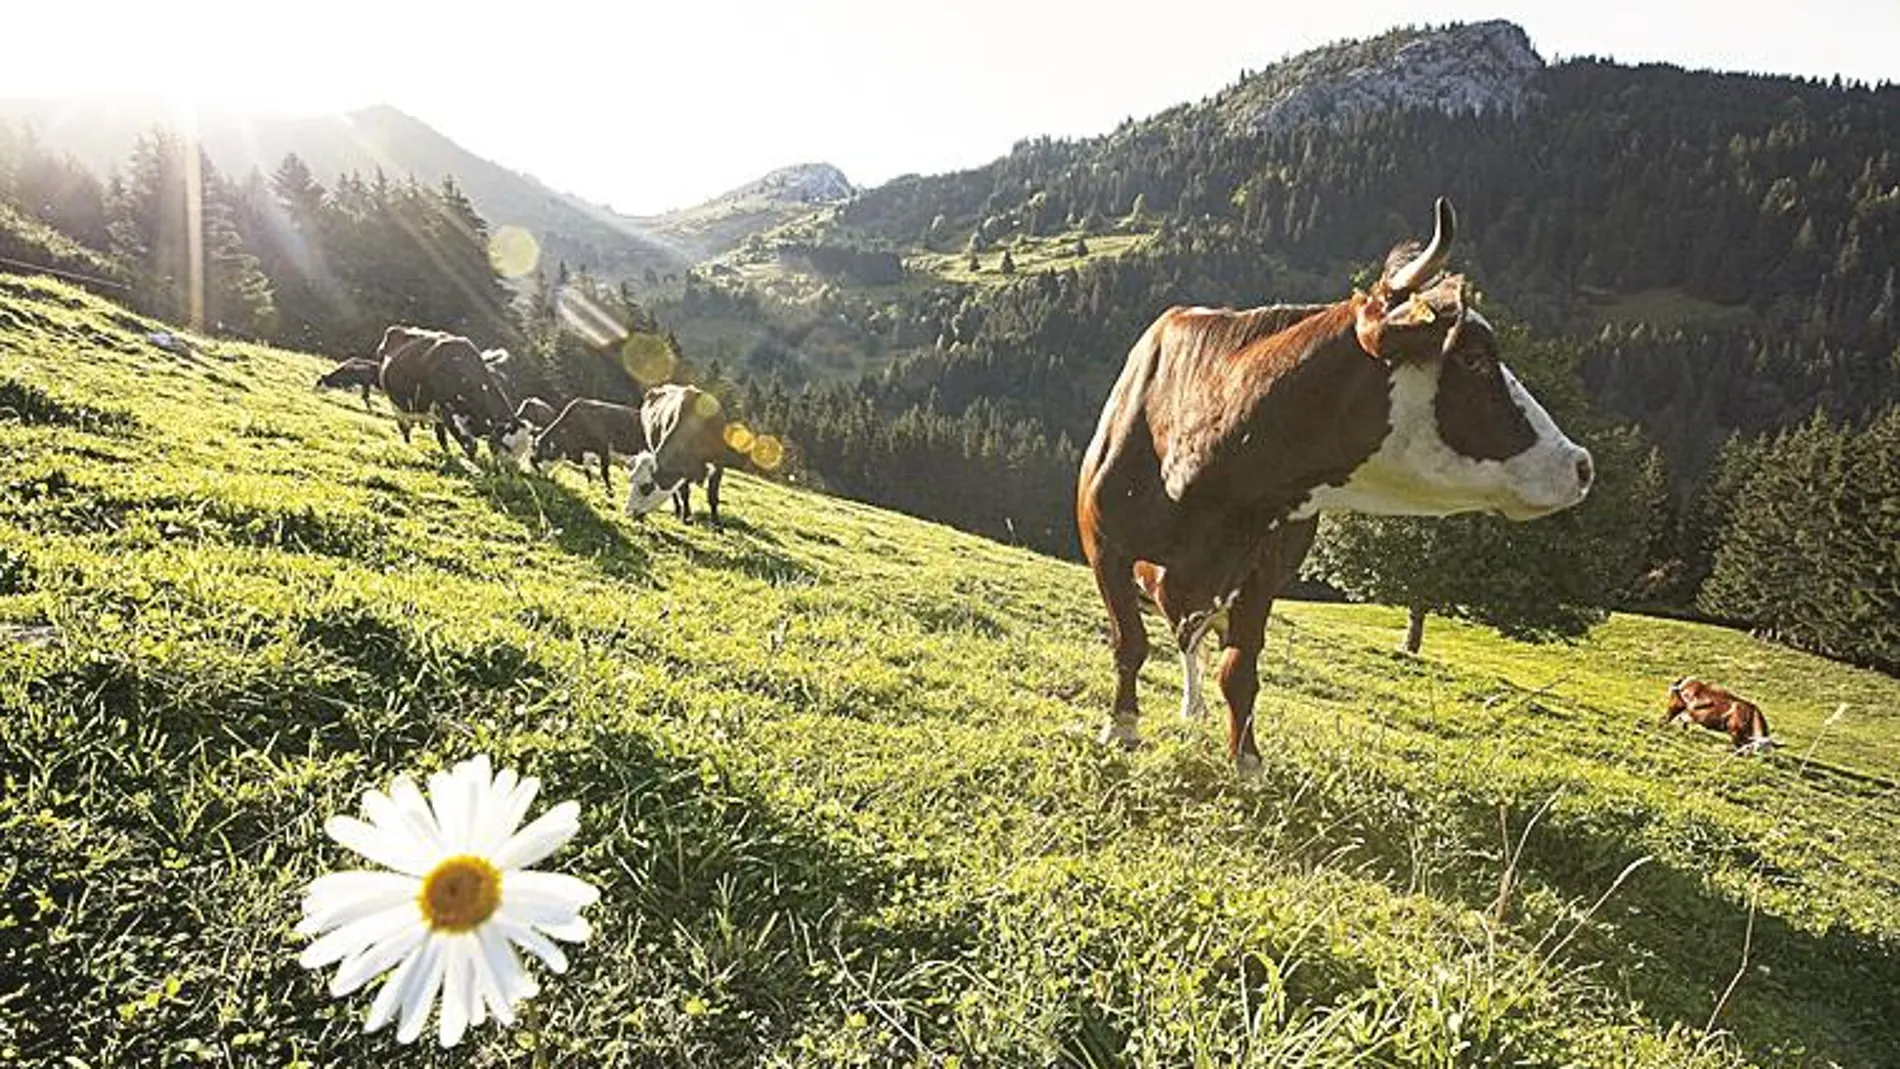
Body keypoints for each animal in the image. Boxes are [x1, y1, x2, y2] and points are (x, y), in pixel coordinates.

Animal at [630, 385, 733, 527]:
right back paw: (678, 510)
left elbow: (712, 494)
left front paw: (716, 522)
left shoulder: (719, 462)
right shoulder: (683, 469)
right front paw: (687, 517)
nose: (629, 512)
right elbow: (684, 493)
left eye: (646, 487)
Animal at [1079, 196, 1596, 774]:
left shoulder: (1261, 573)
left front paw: (1246, 761)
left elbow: (1239, 670)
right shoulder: (1104, 546)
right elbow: (1130, 641)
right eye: (1473, 358)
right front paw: (1121, 727)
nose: (1580, 464)